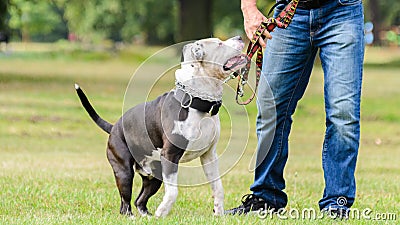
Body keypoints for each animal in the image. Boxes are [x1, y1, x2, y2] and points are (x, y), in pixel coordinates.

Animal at [73, 36, 245, 217]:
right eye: (219, 43)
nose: (240, 37)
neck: (196, 101)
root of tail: (114, 127)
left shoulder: (209, 156)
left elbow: (218, 187)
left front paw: (218, 213)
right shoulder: (170, 155)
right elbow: (173, 191)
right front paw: (162, 211)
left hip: (154, 177)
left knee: (139, 200)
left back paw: (147, 216)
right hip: (124, 171)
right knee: (125, 202)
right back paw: (131, 216)